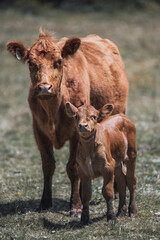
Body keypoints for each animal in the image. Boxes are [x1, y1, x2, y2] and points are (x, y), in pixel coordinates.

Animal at [6, 30, 128, 216]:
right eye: (30, 63)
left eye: (59, 61)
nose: (44, 88)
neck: (53, 112)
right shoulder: (38, 131)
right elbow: (48, 166)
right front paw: (44, 203)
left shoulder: (77, 133)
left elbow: (73, 168)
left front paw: (75, 205)